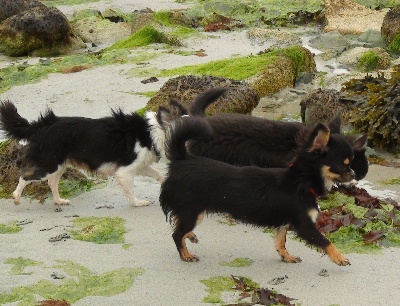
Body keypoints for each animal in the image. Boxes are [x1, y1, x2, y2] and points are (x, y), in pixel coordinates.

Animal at [0, 100, 184, 206]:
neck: (151, 133)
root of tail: (41, 125)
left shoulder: (139, 165)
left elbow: (159, 175)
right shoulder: (124, 172)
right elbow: (130, 191)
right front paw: (138, 203)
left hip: (59, 164)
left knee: (51, 182)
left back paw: (59, 201)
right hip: (48, 164)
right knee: (25, 176)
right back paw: (16, 197)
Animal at [159, 115, 356, 266]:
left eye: (350, 164)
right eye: (344, 165)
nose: (354, 173)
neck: (300, 182)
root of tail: (182, 160)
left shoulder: (285, 222)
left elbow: (280, 242)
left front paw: (287, 257)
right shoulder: (304, 225)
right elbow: (326, 242)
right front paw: (340, 258)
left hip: (193, 213)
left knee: (179, 227)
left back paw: (190, 237)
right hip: (192, 212)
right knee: (176, 234)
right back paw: (186, 255)